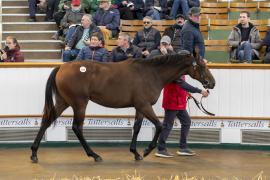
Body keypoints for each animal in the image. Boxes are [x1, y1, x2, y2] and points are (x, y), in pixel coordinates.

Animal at [30, 50, 215, 163]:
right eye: (202, 65)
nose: (211, 83)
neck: (151, 73)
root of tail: (62, 67)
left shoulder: (140, 107)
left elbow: (137, 127)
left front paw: (136, 153)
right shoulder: (145, 105)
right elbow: (160, 125)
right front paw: (146, 150)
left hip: (64, 102)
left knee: (46, 120)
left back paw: (34, 153)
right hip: (79, 103)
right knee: (76, 127)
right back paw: (94, 155)